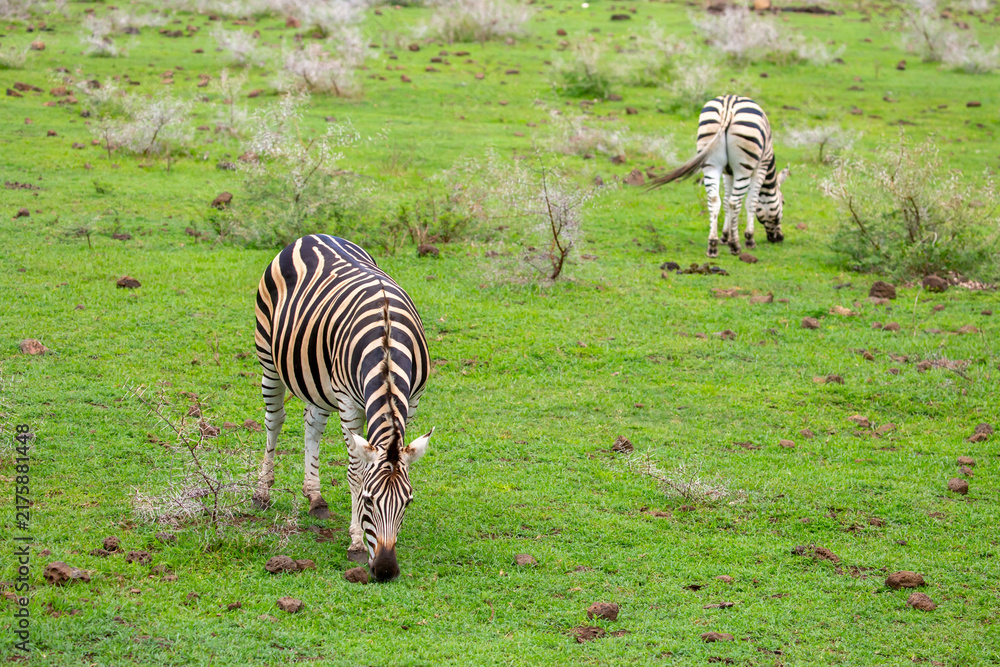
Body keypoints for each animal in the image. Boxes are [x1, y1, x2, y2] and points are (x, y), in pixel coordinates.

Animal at [252, 234, 432, 582]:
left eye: (408, 502)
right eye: (369, 501)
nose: (386, 570)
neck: (387, 345)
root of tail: (312, 236)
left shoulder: (412, 402)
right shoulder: (349, 404)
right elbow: (355, 473)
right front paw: (357, 544)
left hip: (317, 378)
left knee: (312, 424)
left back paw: (315, 497)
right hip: (268, 354)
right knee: (274, 420)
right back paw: (262, 492)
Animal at [648, 95, 789, 258]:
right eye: (783, 202)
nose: (779, 238)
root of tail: (728, 105)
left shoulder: (728, 172)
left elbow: (726, 201)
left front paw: (725, 236)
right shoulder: (760, 167)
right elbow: (750, 202)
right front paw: (748, 238)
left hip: (711, 162)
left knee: (714, 200)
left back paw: (713, 245)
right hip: (743, 167)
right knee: (735, 202)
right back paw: (735, 246)